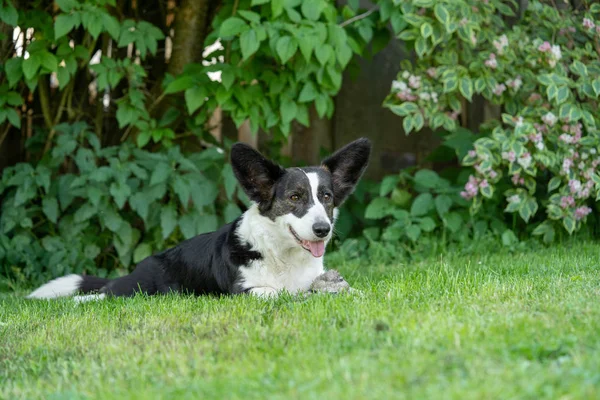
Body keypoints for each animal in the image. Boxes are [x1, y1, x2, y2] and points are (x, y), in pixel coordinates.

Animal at [28, 138, 370, 300]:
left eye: (326, 197)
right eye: (295, 197)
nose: (322, 230)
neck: (282, 256)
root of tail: (136, 269)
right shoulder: (246, 291)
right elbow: (278, 292)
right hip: (135, 290)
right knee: (99, 296)